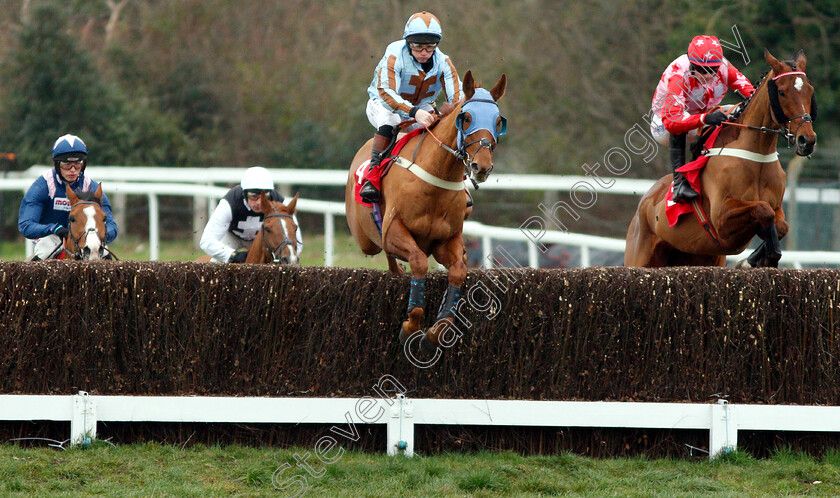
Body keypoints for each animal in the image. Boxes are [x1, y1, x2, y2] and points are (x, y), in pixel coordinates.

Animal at [344, 73, 508, 354]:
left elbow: (458, 271)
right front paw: (410, 326)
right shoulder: (395, 231)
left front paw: (434, 333)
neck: (435, 179)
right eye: (466, 117)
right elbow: (419, 262)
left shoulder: (446, 240)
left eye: (498, 121)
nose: (482, 167)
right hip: (367, 241)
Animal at [628, 49, 816, 268]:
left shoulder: (777, 207)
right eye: (782, 92)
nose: (807, 140)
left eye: (810, 91)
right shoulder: (721, 221)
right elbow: (764, 210)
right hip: (639, 257)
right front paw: (750, 260)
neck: (756, 155)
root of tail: (644, 202)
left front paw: (757, 258)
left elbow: (782, 225)